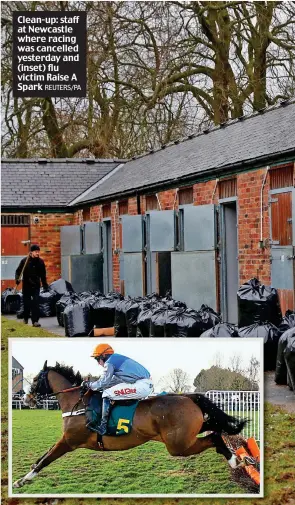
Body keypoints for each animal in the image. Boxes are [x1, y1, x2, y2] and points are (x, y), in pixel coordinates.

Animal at [13, 362, 247, 488]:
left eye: (36, 380)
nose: (26, 399)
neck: (77, 404)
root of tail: (186, 397)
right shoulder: (65, 440)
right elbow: (41, 456)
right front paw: (25, 475)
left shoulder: (69, 441)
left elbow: (45, 459)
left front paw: (23, 480)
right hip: (187, 435)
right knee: (215, 429)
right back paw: (236, 456)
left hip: (178, 445)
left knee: (214, 437)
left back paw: (234, 460)